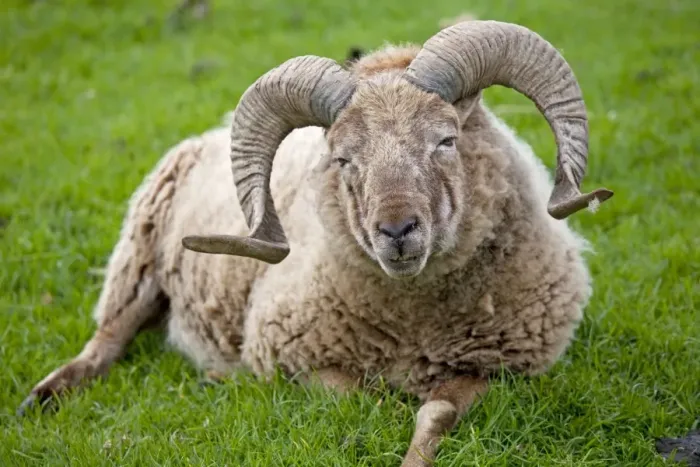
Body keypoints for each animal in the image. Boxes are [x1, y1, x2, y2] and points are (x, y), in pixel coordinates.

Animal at [20, 20, 614, 466]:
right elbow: (366, 396)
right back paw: (41, 399)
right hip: (137, 259)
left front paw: (414, 454)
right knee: (105, 342)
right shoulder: (289, 355)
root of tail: (209, 133)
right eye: (343, 159)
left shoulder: (500, 369)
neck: (416, 328)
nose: (397, 231)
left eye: (447, 140)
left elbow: (437, 413)